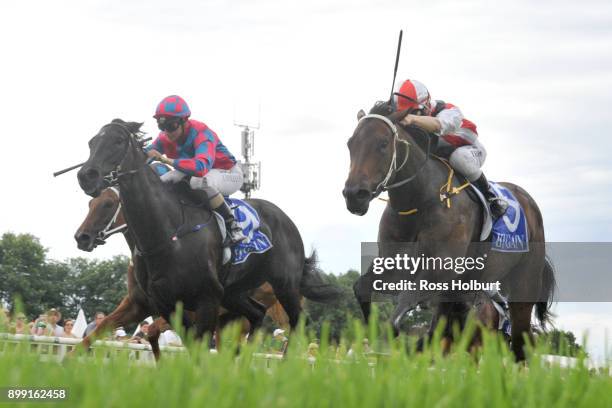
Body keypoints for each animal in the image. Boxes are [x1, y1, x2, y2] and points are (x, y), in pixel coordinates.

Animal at [74, 186, 292, 358]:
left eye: (109, 204)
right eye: (91, 203)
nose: (82, 237)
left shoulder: (188, 308)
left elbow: (155, 330)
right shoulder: (138, 305)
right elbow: (104, 326)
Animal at [342, 106, 556, 360]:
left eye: (383, 143)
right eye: (350, 143)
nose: (354, 195)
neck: (419, 200)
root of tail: (528, 202)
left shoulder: (440, 269)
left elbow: (400, 311)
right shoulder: (393, 264)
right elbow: (361, 288)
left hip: (523, 287)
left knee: (521, 343)